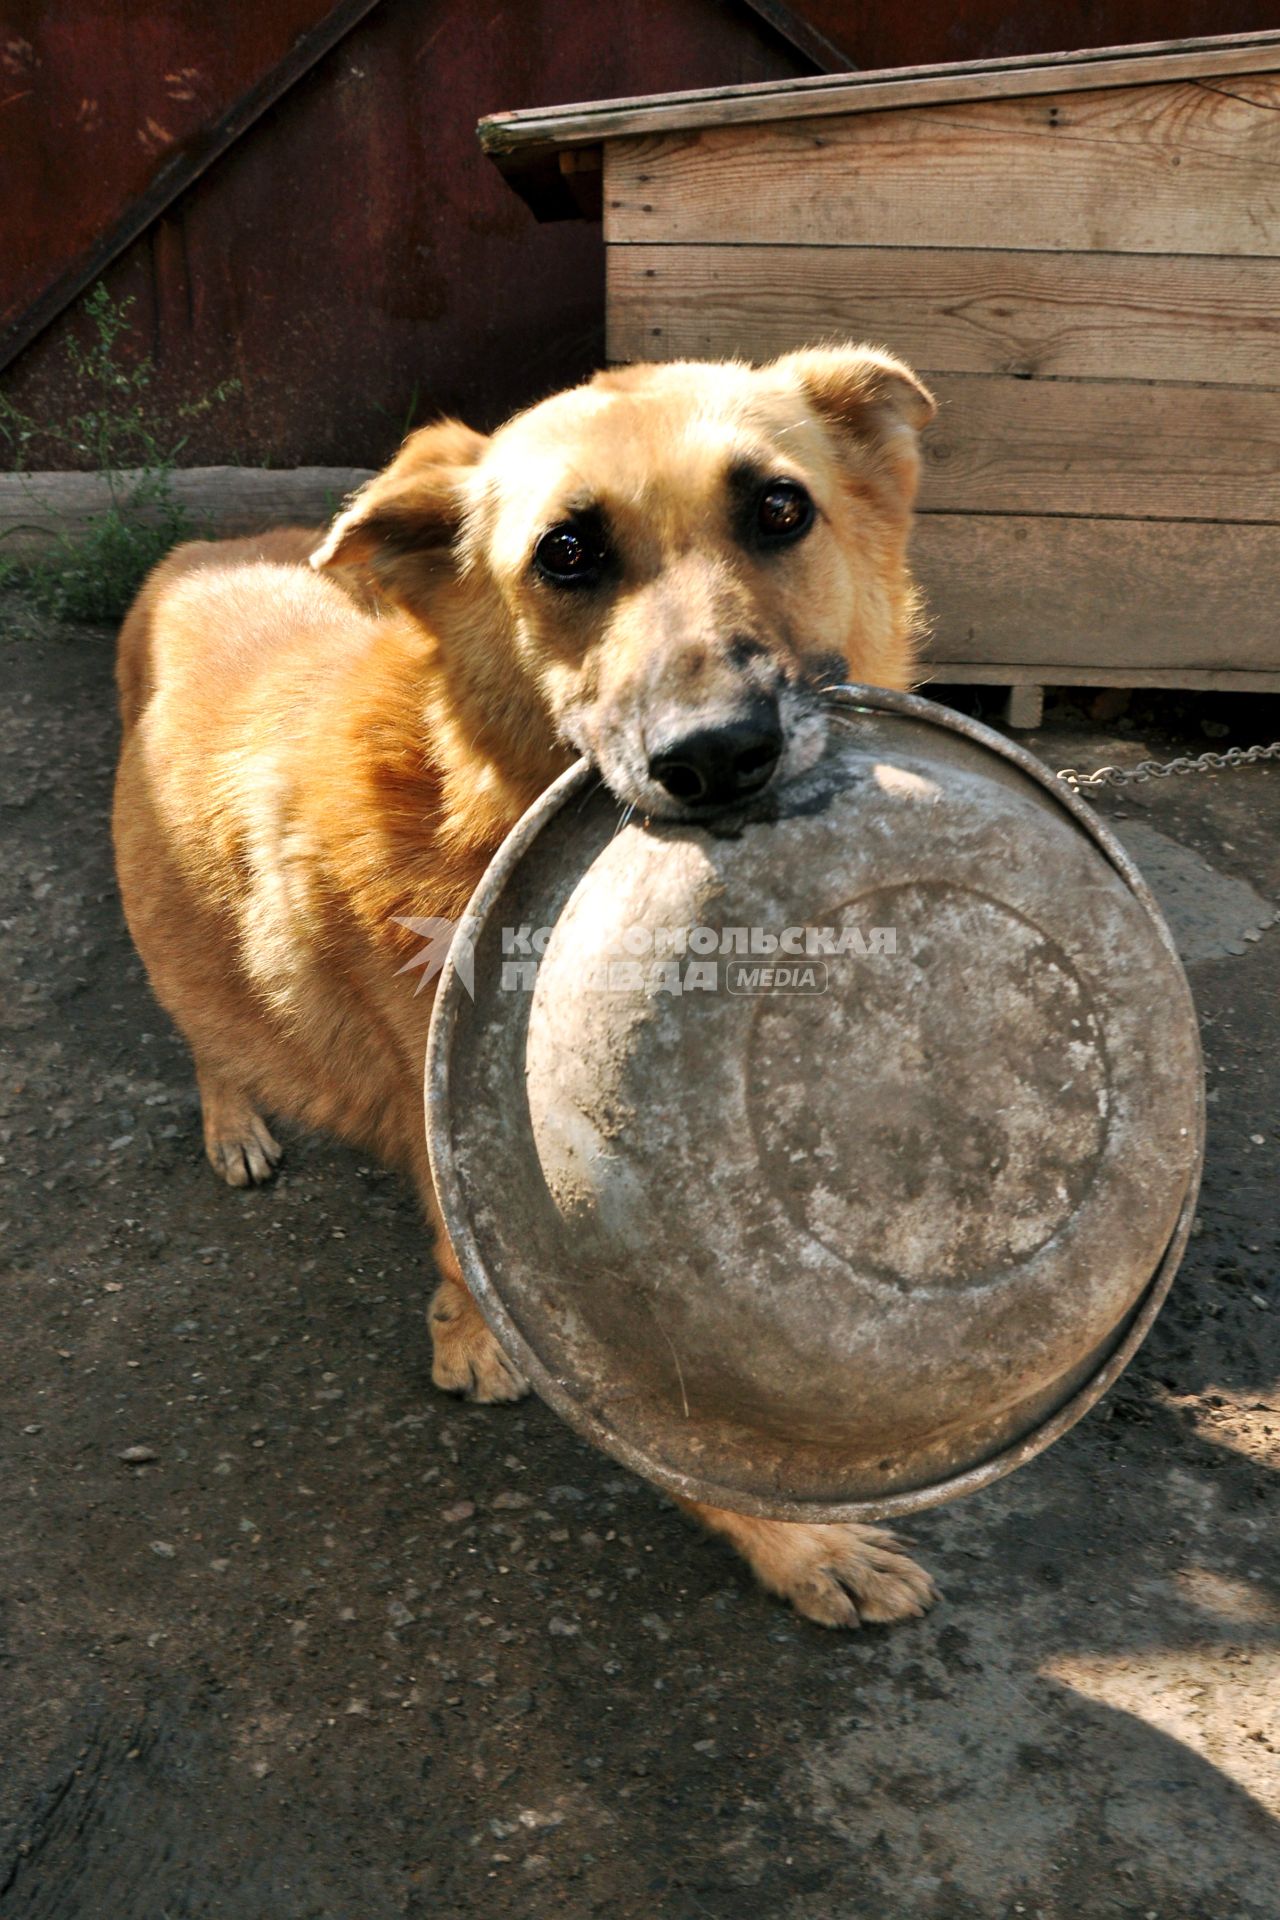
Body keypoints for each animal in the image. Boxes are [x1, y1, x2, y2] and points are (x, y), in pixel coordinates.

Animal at [115, 349, 940, 1635]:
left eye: (778, 508)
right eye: (564, 552)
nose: (716, 758)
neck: (474, 808)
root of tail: (204, 547)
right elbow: (687, 1423)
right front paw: (798, 1545)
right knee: (208, 1029)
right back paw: (234, 1120)